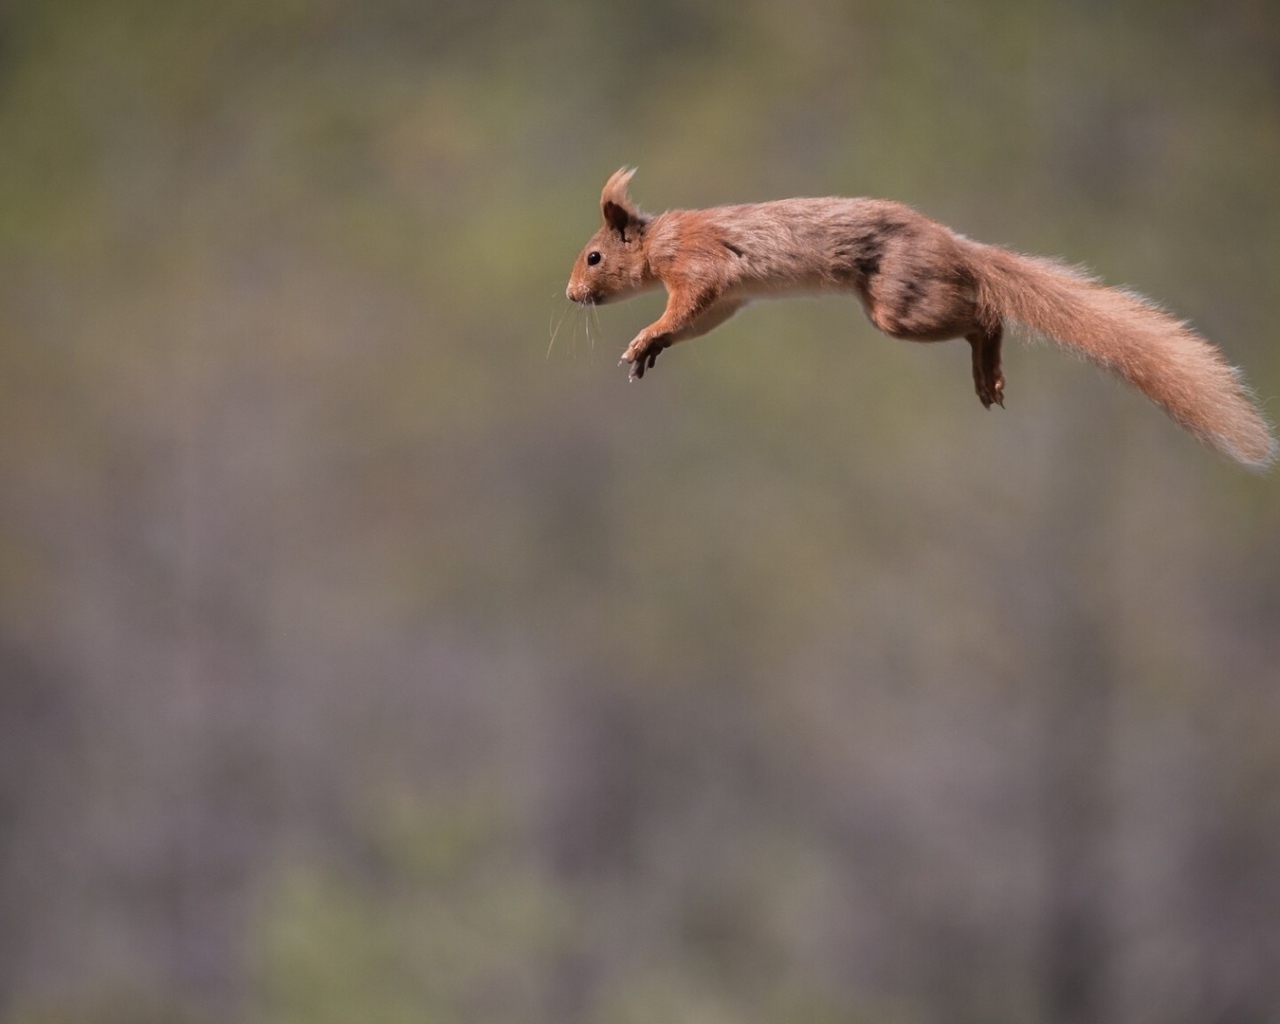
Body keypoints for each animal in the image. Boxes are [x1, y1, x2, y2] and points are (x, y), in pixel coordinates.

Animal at [565, 167, 1274, 468]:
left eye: (594, 256)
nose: (571, 294)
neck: (659, 241)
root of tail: (954, 245)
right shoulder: (729, 299)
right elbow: (699, 321)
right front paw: (652, 349)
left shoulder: (699, 265)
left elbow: (687, 303)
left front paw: (645, 336)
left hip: (900, 304)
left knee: (986, 312)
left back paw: (988, 368)